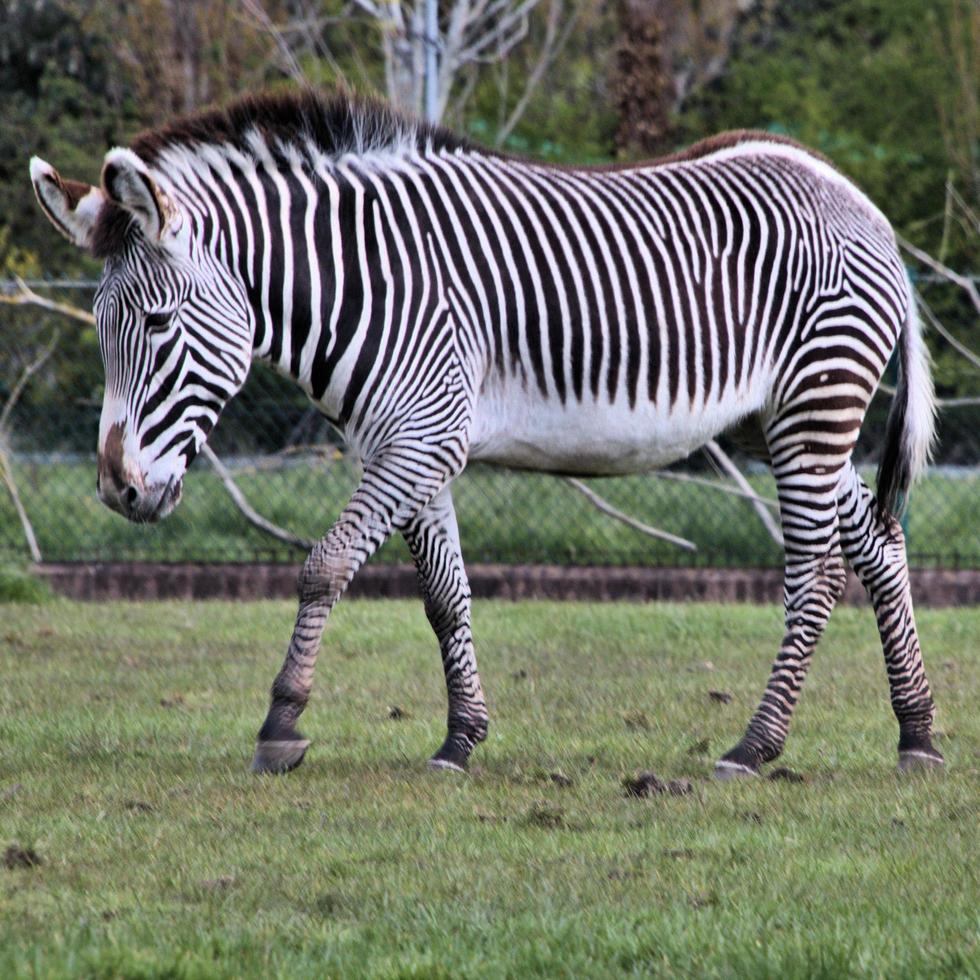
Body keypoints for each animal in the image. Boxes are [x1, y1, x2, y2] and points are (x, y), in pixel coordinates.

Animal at [28, 92, 940, 780]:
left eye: (156, 323)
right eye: (101, 330)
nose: (119, 490)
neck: (364, 281)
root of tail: (858, 199)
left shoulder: (423, 435)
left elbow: (324, 565)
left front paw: (281, 724)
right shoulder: (408, 444)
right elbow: (444, 596)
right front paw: (461, 738)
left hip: (815, 407)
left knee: (815, 576)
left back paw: (756, 745)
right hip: (779, 419)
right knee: (880, 545)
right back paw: (919, 734)